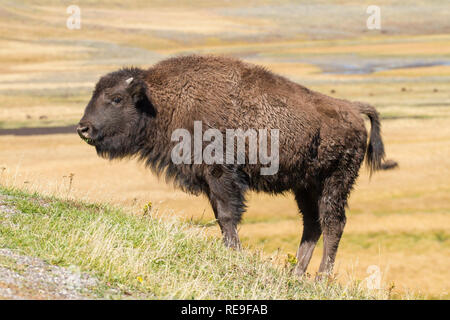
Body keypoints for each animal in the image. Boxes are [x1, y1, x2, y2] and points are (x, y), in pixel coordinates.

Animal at [79, 55, 388, 278]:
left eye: (116, 98)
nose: (83, 128)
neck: (161, 100)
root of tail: (352, 109)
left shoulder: (222, 175)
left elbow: (228, 215)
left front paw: (235, 253)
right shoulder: (208, 181)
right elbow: (220, 217)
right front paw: (230, 251)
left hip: (335, 182)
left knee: (333, 223)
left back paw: (322, 278)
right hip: (306, 187)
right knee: (312, 224)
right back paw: (296, 274)